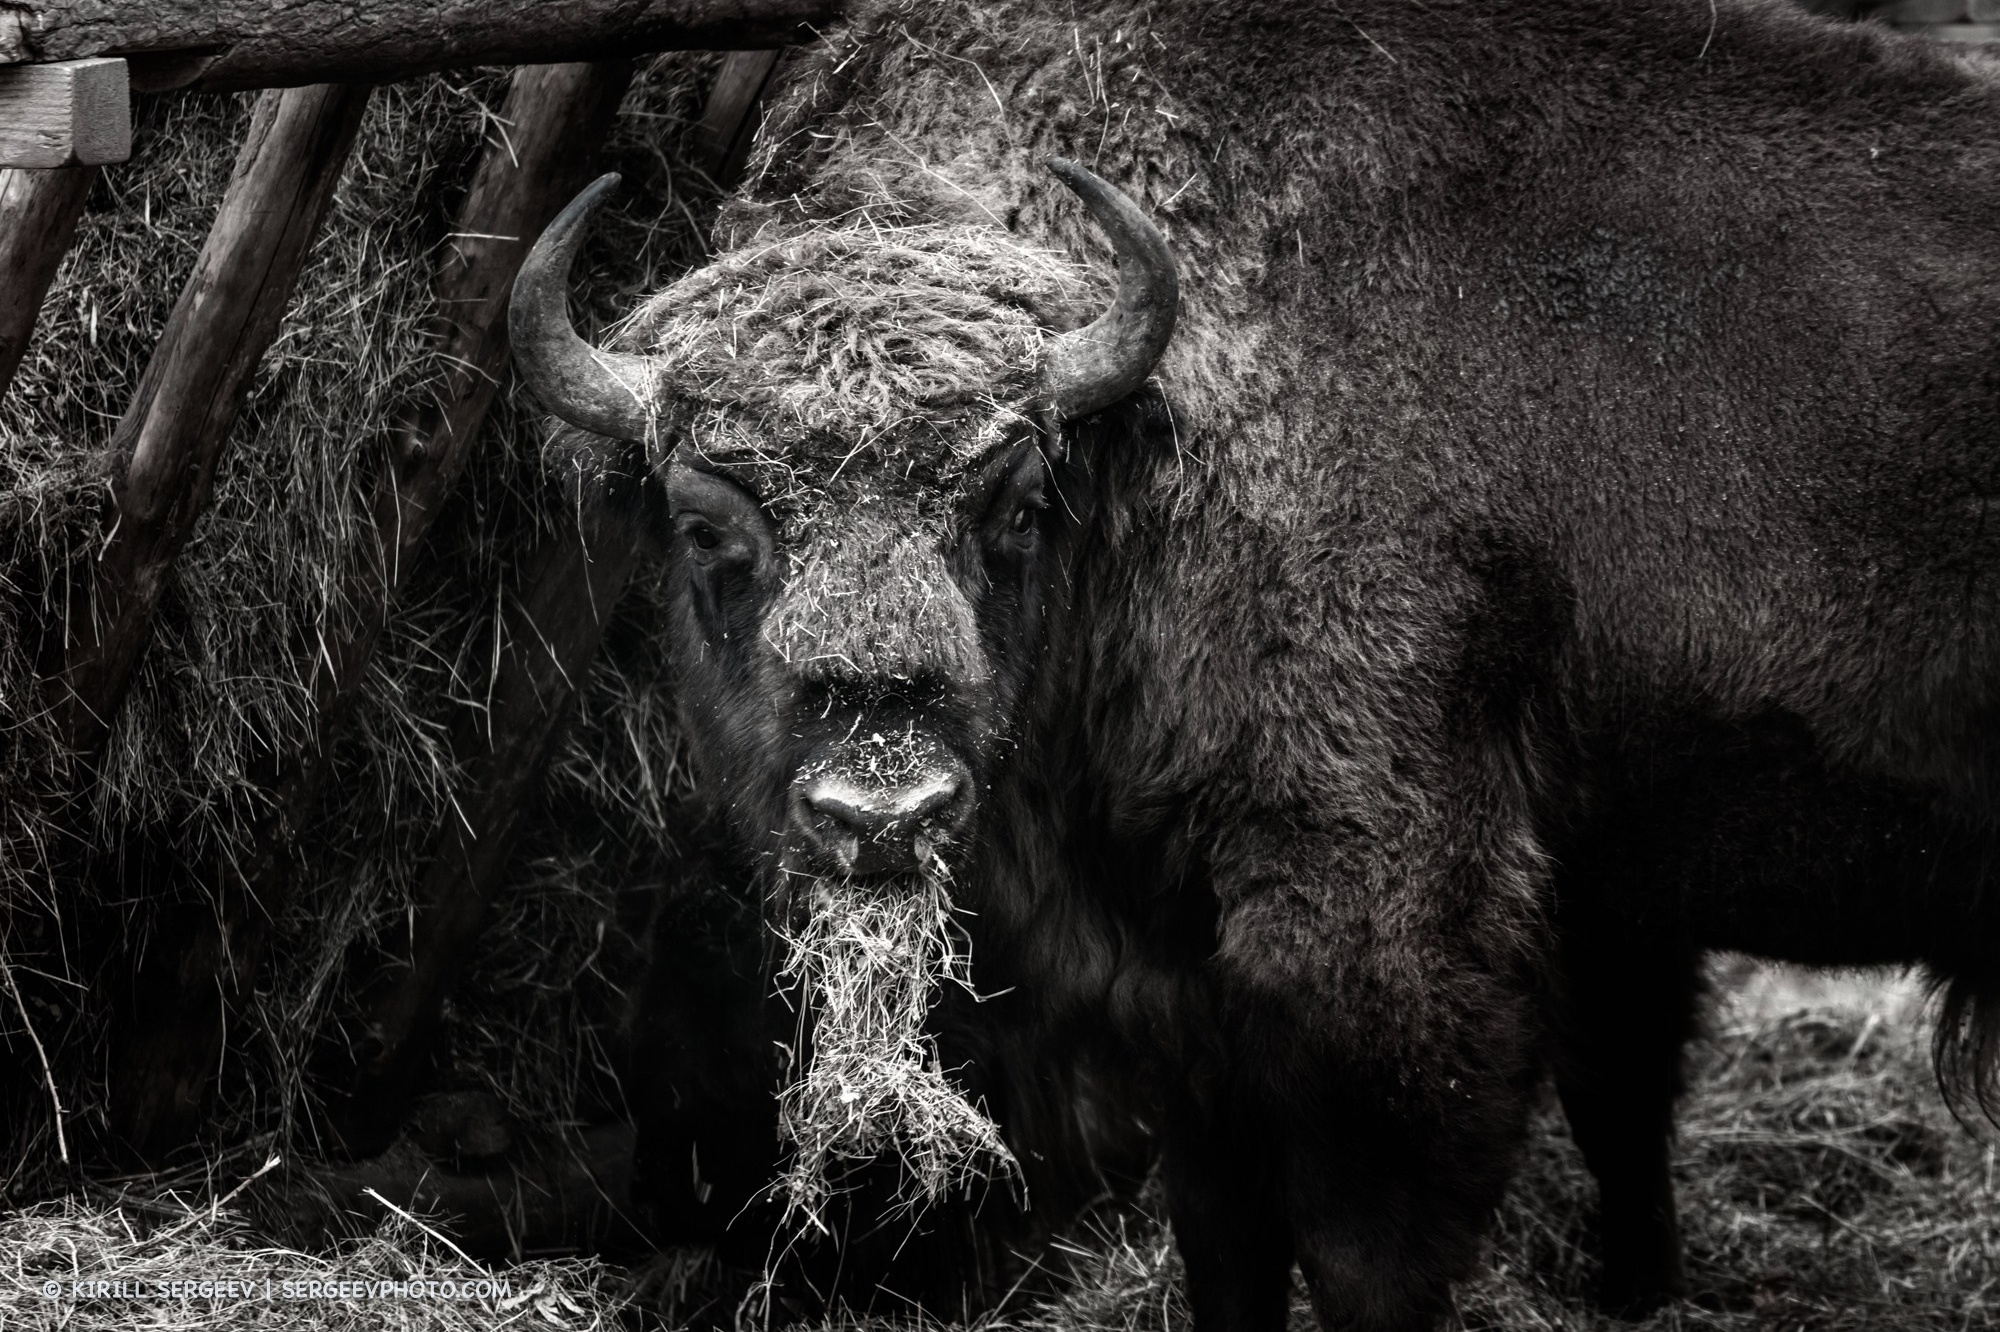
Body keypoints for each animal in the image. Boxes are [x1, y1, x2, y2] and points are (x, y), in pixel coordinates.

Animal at [513, 0, 2000, 1326]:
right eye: (708, 529)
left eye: (1016, 504)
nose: (883, 803)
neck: (1155, 432)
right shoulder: (1187, 990)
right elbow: (1229, 1234)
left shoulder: (1375, 929)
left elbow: (1365, 1242)